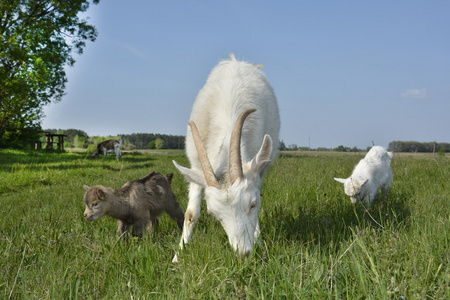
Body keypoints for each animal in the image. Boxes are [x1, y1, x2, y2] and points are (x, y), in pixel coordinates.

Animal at [174, 52, 280, 258]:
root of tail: (236, 61)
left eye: (253, 204)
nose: (243, 253)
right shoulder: (196, 166)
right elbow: (190, 214)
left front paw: (258, 242)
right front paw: (178, 254)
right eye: (215, 214)